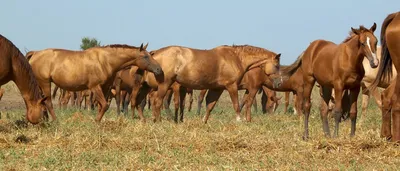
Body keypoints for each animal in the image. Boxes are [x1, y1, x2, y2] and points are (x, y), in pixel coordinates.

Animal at [26, 43, 162, 122]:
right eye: (145, 56)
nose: (159, 69)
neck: (105, 60)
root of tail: (35, 53)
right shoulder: (94, 87)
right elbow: (104, 105)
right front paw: (96, 121)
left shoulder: (105, 87)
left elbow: (101, 106)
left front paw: (98, 121)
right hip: (44, 83)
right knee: (48, 102)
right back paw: (55, 120)